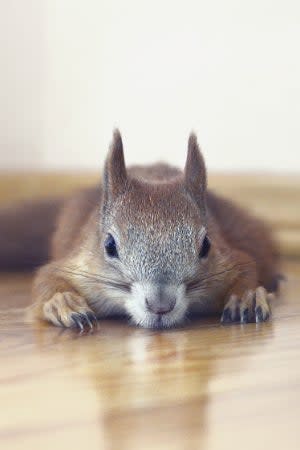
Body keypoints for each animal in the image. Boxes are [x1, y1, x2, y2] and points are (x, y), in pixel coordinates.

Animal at [1, 130, 280, 330]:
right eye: (109, 245)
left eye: (206, 245)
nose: (160, 306)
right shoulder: (77, 265)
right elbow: (45, 279)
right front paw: (62, 302)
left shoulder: (227, 261)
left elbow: (247, 266)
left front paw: (246, 297)